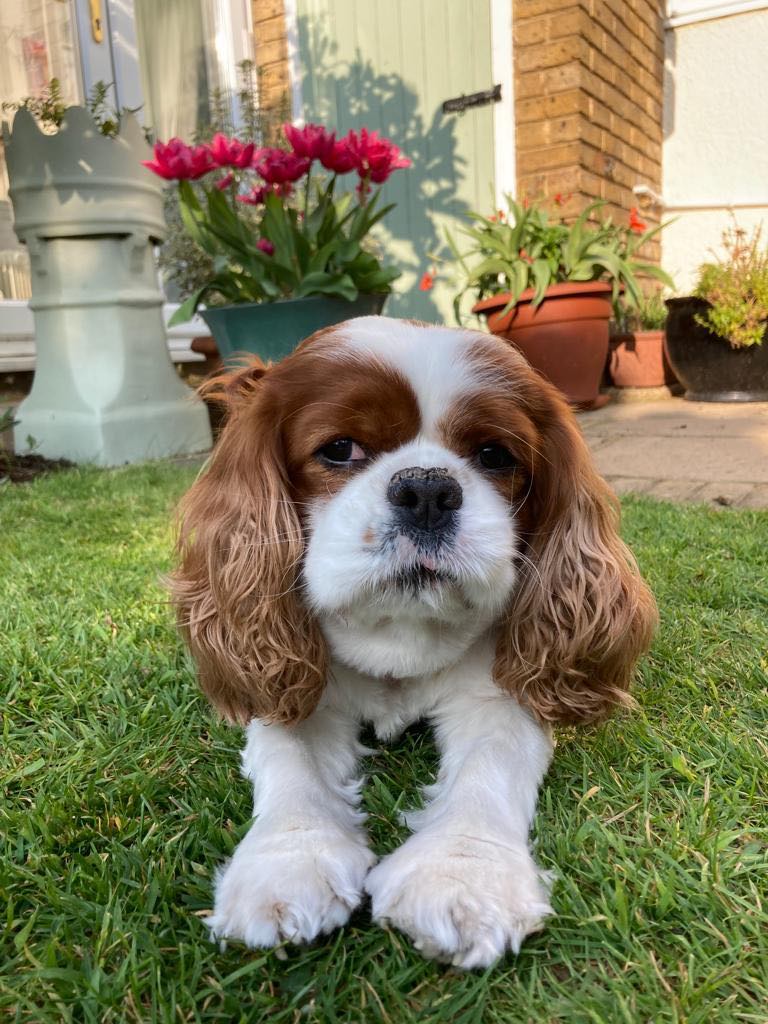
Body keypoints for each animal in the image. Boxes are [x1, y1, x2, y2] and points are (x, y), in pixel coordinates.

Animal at [171, 317, 659, 966]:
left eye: (493, 455)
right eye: (339, 449)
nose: (427, 489)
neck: (399, 630)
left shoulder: (500, 701)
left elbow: (488, 769)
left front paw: (460, 874)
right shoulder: (291, 690)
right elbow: (290, 763)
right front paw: (287, 862)